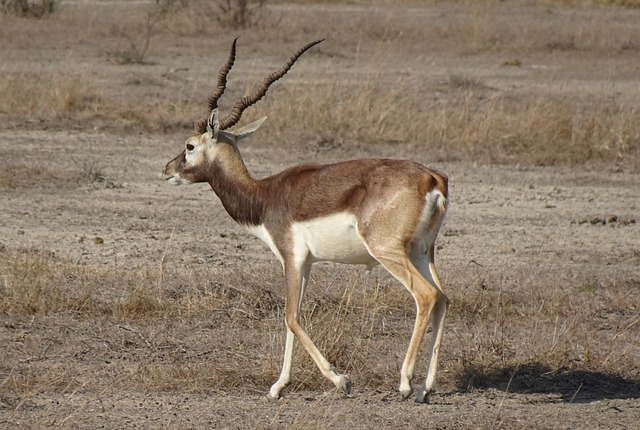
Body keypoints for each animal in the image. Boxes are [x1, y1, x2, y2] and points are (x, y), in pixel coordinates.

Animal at [162, 37, 448, 404]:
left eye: (189, 145)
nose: (167, 169)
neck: (263, 195)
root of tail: (432, 179)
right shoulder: (307, 263)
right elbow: (292, 319)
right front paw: (277, 386)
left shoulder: (291, 257)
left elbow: (290, 316)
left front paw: (341, 380)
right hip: (422, 252)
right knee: (443, 297)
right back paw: (426, 388)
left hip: (389, 252)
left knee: (425, 296)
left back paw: (405, 383)